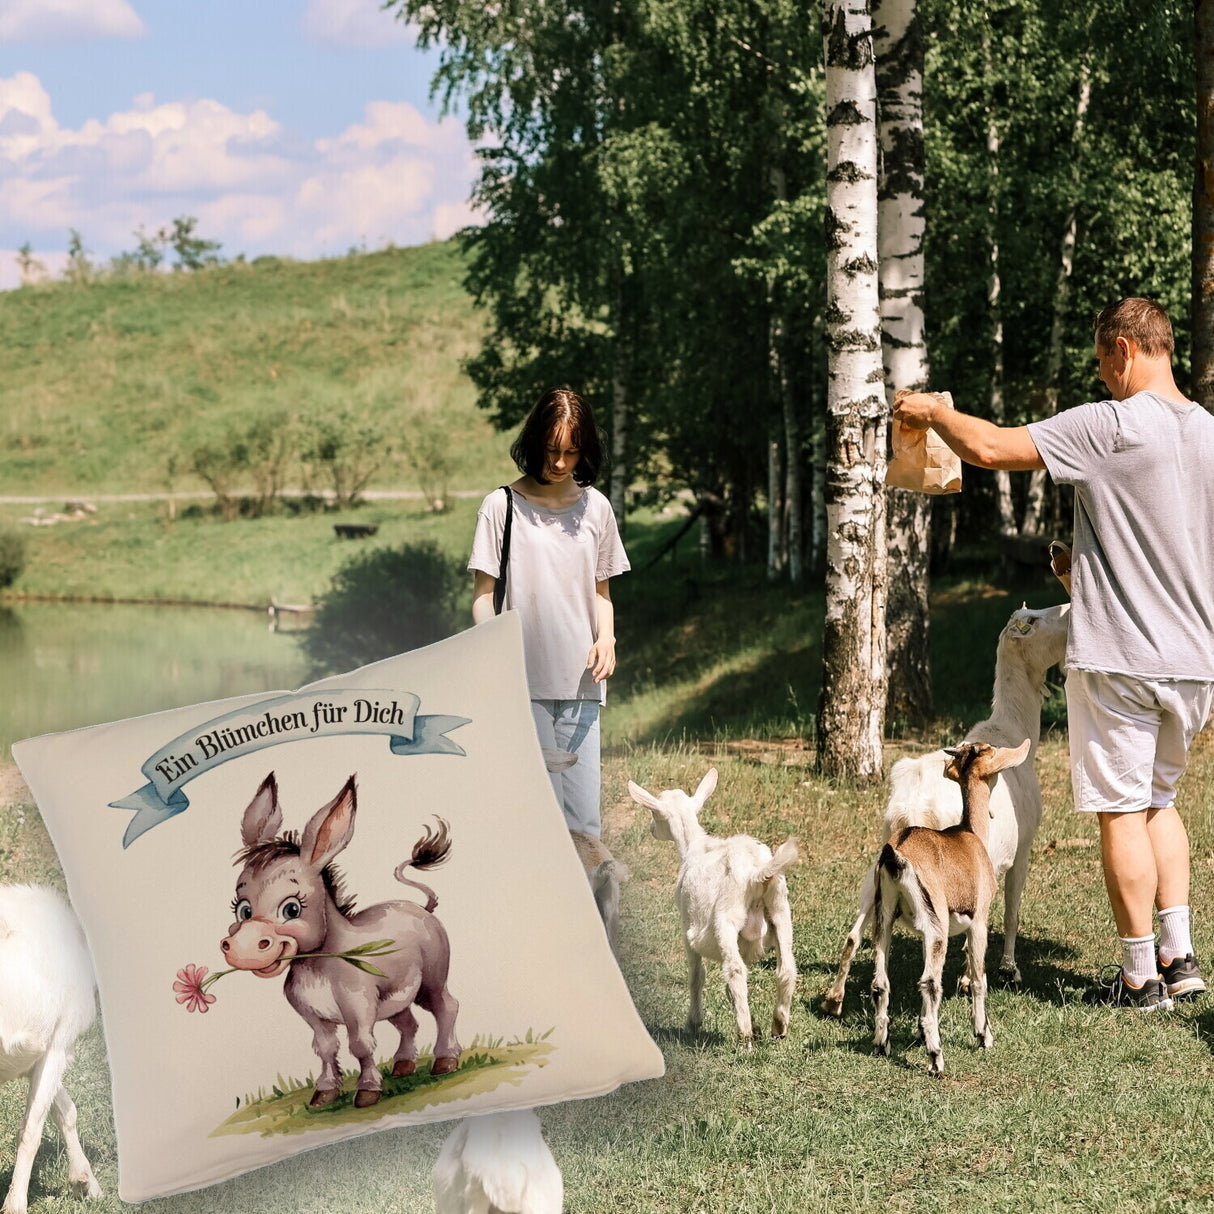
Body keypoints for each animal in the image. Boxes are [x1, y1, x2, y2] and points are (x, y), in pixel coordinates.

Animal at [0, 883, 101, 1214]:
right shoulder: (59, 1043)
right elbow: (31, 1130)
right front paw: (15, 1204)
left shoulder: (37, 1056)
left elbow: (65, 1110)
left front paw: (85, 1183)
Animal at [626, 772, 796, 1048]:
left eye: (655, 814)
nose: (651, 830)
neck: (694, 846)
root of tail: (758, 873)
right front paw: (754, 1023)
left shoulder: (687, 925)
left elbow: (697, 975)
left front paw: (694, 1023)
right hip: (781, 911)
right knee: (786, 969)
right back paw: (778, 1026)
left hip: (725, 920)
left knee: (736, 971)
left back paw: (744, 1038)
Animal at [820, 599, 1068, 1014]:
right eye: (1033, 619)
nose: (1068, 606)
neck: (1012, 730)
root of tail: (912, 804)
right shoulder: (1021, 850)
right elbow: (1011, 911)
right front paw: (1004, 971)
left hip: (877, 868)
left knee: (856, 931)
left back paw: (834, 998)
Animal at [869, 733, 1029, 1078]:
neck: (969, 835)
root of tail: (896, 854)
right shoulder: (979, 920)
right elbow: (979, 978)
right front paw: (984, 1035)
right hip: (937, 925)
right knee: (930, 982)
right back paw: (936, 1059)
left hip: (884, 918)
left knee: (880, 982)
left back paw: (881, 1044)